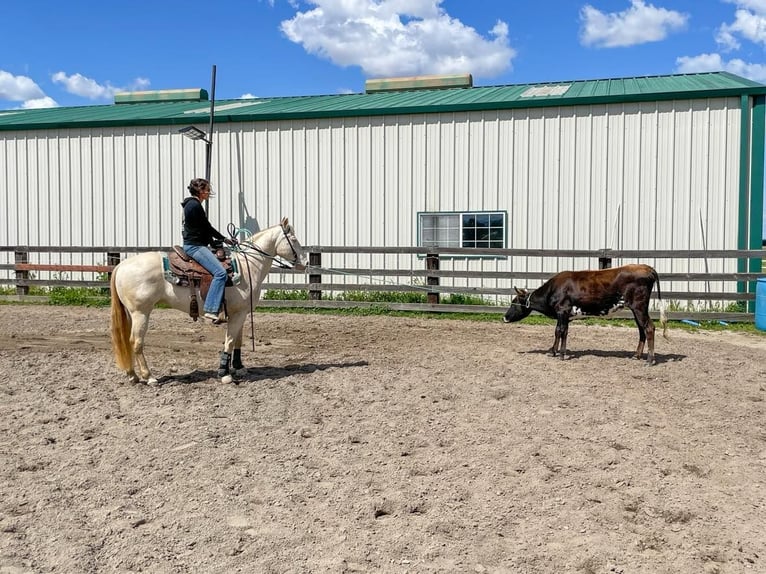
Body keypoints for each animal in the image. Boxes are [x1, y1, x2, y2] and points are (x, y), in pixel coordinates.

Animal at [110, 218, 306, 384]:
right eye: (293, 239)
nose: (304, 263)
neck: (248, 265)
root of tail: (121, 265)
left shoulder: (240, 312)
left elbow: (237, 340)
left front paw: (238, 367)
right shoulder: (238, 313)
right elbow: (229, 341)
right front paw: (224, 374)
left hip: (133, 313)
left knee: (129, 342)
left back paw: (133, 375)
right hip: (141, 312)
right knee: (136, 342)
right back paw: (149, 377)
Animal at [504, 264, 664, 364]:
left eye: (513, 302)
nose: (505, 317)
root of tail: (646, 267)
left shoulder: (562, 310)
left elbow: (560, 331)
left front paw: (561, 354)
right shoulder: (564, 315)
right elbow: (560, 331)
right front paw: (554, 351)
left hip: (639, 307)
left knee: (649, 328)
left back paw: (650, 360)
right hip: (637, 309)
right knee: (641, 330)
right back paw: (636, 355)